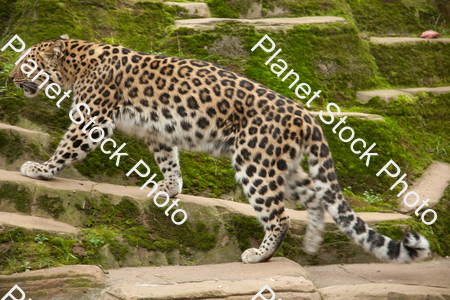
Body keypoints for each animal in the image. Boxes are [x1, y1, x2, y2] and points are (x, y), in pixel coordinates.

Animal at [10, 34, 428, 262]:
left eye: (25, 63)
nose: (10, 78)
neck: (75, 63)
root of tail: (306, 116)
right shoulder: (158, 132)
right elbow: (168, 159)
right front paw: (170, 188)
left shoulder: (92, 120)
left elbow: (68, 146)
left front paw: (40, 168)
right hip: (282, 167)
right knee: (315, 197)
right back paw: (311, 243)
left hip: (255, 163)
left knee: (279, 215)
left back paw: (260, 255)